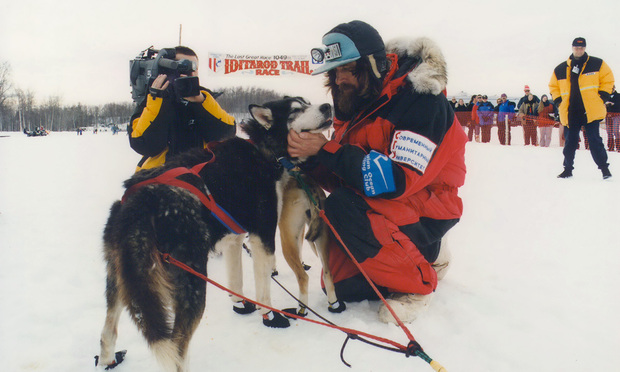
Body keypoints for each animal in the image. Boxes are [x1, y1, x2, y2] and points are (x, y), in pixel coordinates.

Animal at [98, 96, 340, 372]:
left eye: (308, 103)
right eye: (296, 110)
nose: (327, 107)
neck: (263, 151)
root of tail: (138, 204)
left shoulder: (234, 239)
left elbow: (236, 282)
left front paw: (240, 304)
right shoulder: (263, 237)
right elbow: (264, 288)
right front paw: (269, 316)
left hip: (120, 279)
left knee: (107, 332)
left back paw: (109, 359)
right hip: (192, 279)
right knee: (178, 348)